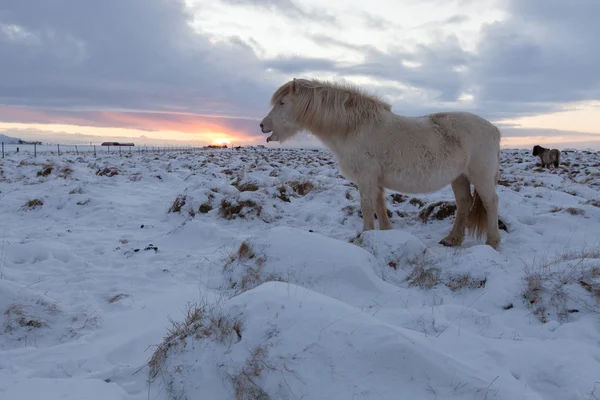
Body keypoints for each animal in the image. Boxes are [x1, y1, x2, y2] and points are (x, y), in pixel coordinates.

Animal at [260, 77, 504, 250]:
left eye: (282, 102)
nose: (262, 125)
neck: (354, 128)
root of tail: (494, 129)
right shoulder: (375, 181)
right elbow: (380, 207)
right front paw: (386, 234)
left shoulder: (366, 179)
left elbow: (367, 208)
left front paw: (364, 238)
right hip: (459, 177)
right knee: (464, 204)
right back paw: (452, 239)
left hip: (480, 175)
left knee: (490, 202)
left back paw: (492, 243)